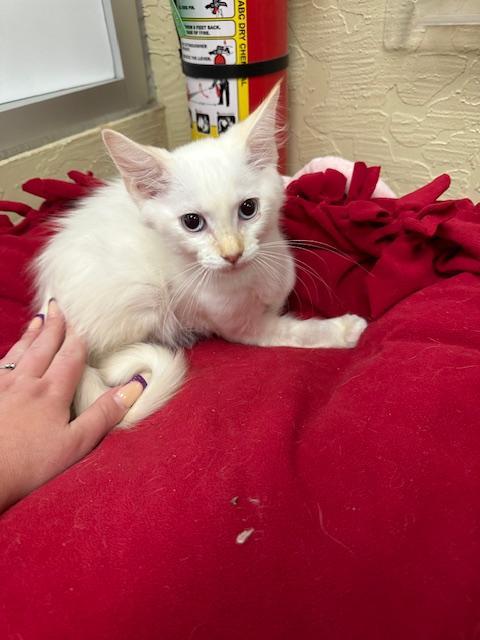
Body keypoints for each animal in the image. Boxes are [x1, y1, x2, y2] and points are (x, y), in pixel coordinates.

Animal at [34, 84, 368, 424]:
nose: (233, 253)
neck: (249, 278)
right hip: (141, 294)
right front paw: (342, 330)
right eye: (192, 222)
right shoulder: (239, 327)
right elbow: (287, 331)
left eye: (249, 208)